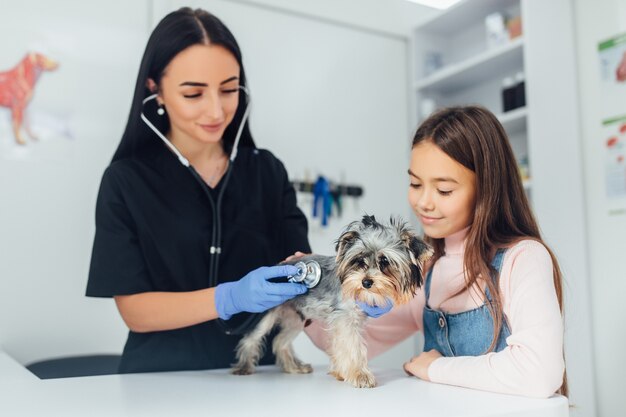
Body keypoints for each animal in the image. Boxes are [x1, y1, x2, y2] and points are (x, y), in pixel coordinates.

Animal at [232, 214, 432, 386]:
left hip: (296, 318)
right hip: (269, 311)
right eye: (359, 260)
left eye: (385, 261)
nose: (366, 282)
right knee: (252, 337)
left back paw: (294, 367)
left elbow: (340, 345)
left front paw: (340, 372)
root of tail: (279, 266)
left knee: (280, 341)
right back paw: (244, 367)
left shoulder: (348, 320)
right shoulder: (346, 319)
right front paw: (359, 375)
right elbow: (352, 347)